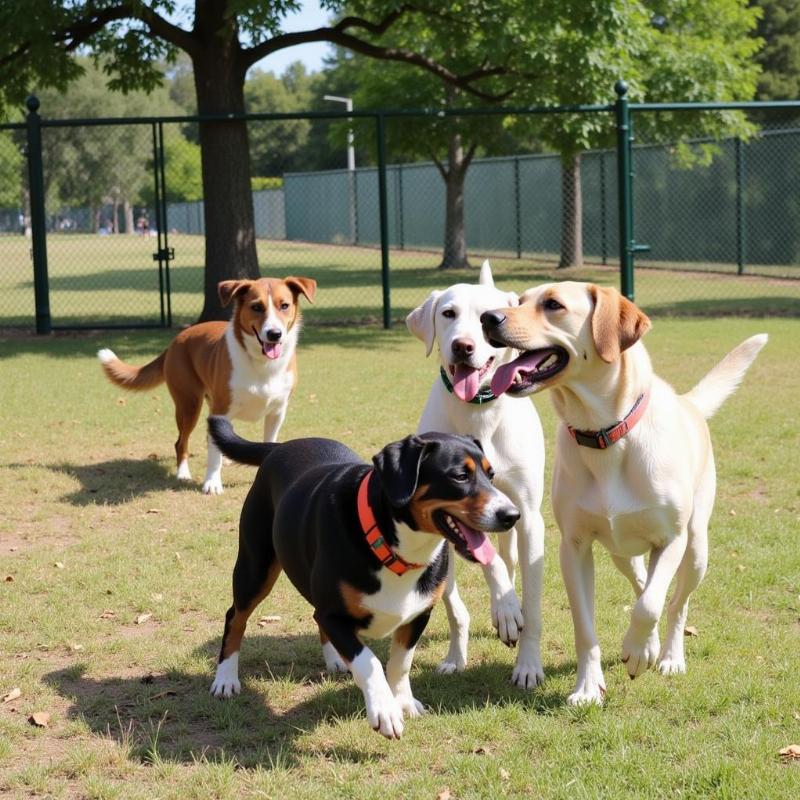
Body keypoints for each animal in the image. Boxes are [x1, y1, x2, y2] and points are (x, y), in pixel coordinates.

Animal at [97, 276, 316, 494]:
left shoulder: (277, 413)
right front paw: (212, 482)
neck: (262, 364)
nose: (274, 334)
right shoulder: (221, 410)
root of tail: (176, 340)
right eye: (256, 307)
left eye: (284, 305)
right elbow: (212, 454)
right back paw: (183, 473)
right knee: (181, 442)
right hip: (189, 405)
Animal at [206, 416, 520, 740]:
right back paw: (226, 678)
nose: (512, 515)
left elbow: (400, 663)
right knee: (236, 618)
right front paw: (384, 710)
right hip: (255, 568)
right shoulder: (333, 614)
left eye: (491, 475)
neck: (393, 547)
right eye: (459, 476)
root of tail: (279, 447)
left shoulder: (418, 614)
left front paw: (403, 701)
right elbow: (369, 662)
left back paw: (333, 659)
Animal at [410, 262, 548, 688]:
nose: (463, 346)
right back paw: (458, 653)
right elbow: (487, 566)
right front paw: (504, 610)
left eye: (488, 317)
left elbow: (531, 602)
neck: (479, 412)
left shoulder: (528, 516)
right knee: (456, 604)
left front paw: (528, 665)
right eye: (448, 313)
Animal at [484, 280, 764, 700]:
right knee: (642, 581)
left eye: (553, 305)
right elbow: (587, 627)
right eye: (519, 300)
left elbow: (650, 606)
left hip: (697, 548)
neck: (605, 434)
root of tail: (687, 403)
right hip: (621, 553)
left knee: (675, 602)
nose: (488, 317)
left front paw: (637, 652)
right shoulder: (574, 547)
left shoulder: (671, 539)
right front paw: (588, 687)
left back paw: (668, 655)